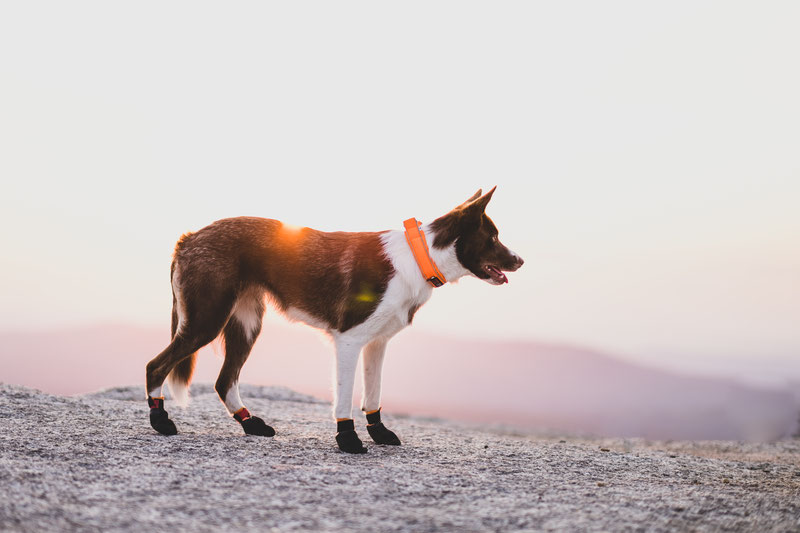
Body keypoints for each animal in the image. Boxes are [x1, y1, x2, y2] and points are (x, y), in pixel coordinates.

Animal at [145, 187, 524, 454]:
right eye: (492, 238)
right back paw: (161, 421)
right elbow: (344, 398)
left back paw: (250, 424)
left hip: (246, 325)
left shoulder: (377, 343)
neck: (420, 257)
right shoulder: (349, 340)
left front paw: (378, 432)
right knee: (155, 365)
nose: (520, 260)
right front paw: (348, 439)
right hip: (206, 321)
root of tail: (190, 237)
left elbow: (373, 394)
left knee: (224, 381)